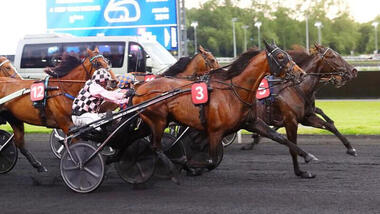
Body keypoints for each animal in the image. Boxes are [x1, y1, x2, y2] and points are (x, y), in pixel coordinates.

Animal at [134, 41, 318, 182]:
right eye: (280, 57)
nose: (301, 74)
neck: (235, 92)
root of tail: (139, 89)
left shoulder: (251, 122)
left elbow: (281, 138)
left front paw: (306, 162)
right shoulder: (215, 131)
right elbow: (211, 161)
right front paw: (187, 164)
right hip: (158, 120)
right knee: (156, 147)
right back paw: (169, 170)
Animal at [242, 44, 358, 178]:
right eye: (332, 56)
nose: (354, 70)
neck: (298, 88)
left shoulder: (306, 117)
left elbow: (329, 126)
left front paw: (350, 149)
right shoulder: (291, 121)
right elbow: (292, 145)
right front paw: (300, 171)